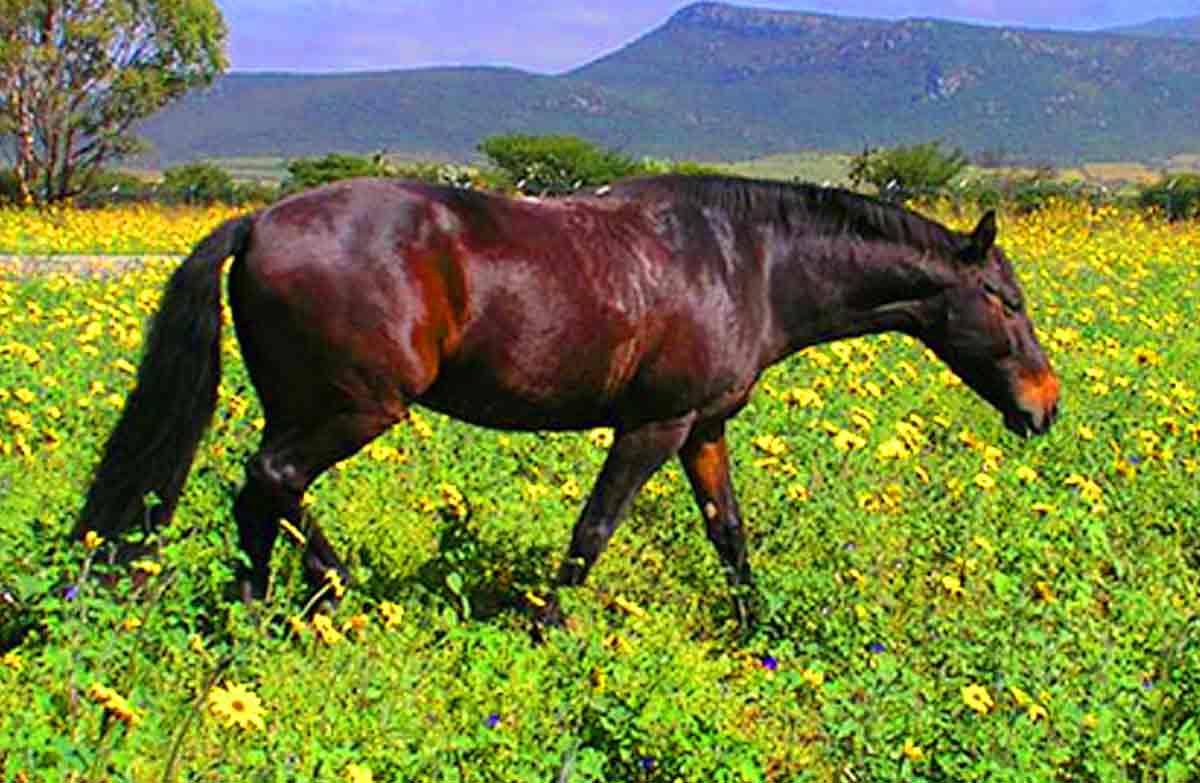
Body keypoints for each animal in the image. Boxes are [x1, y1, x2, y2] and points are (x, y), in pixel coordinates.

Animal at [76, 175, 1059, 628]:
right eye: (1005, 300)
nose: (1045, 405)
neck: (750, 262)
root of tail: (257, 222)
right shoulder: (653, 425)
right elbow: (595, 529)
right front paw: (548, 626)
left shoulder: (703, 428)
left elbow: (730, 534)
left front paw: (761, 625)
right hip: (357, 409)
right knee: (272, 479)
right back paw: (334, 587)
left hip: (311, 407)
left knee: (256, 495)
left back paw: (253, 613)